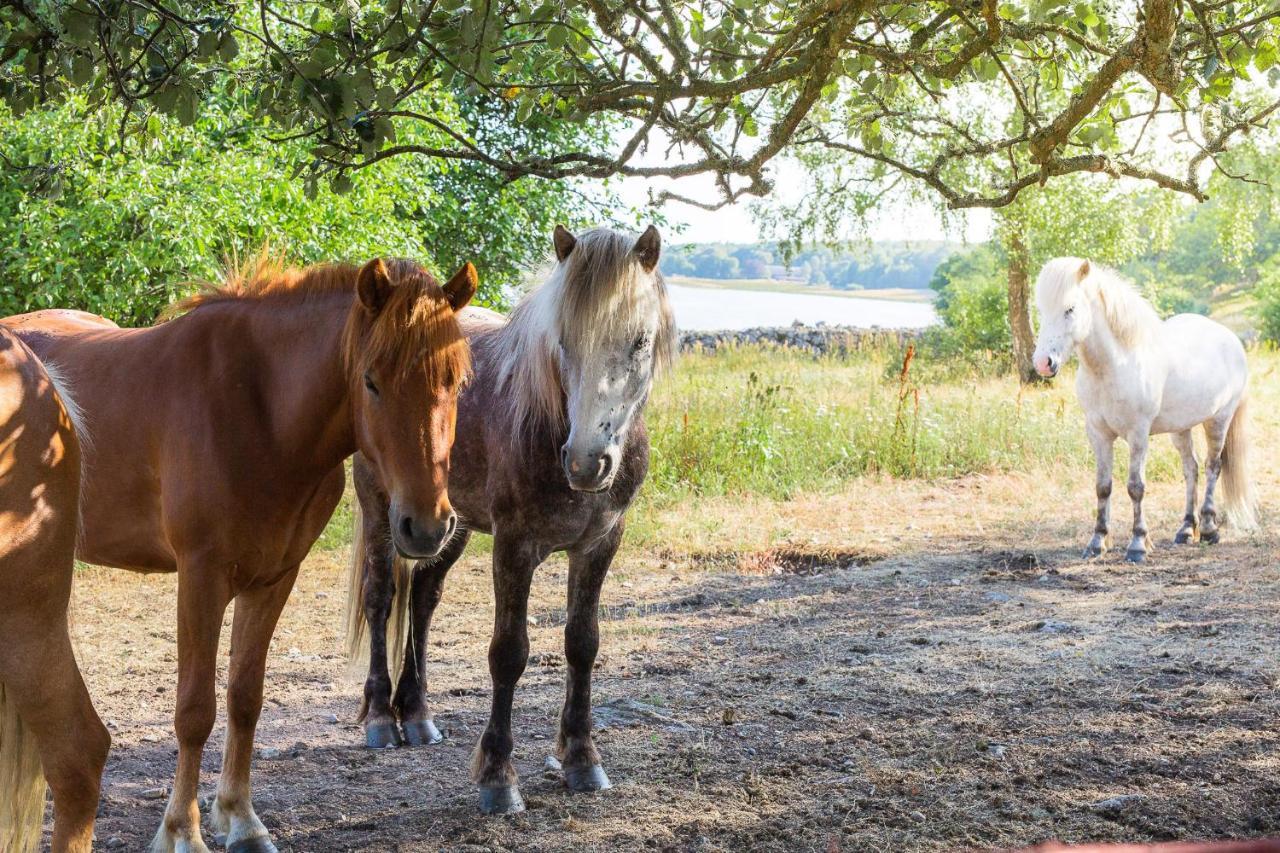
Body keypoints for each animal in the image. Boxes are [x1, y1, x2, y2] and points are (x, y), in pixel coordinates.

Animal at [2, 257, 478, 850]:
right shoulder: (201, 578)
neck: (260, 410)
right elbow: (194, 711)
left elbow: (245, 699)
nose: (426, 525)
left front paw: (240, 818)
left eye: (455, 381)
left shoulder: (273, 579)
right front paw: (182, 830)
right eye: (371, 381)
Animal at [345, 225, 675, 809]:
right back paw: (384, 717)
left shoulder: (600, 544)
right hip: (382, 508)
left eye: (639, 341)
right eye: (563, 339)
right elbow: (509, 653)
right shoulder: (514, 547)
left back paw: (419, 714)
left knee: (424, 599)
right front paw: (499, 777)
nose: (586, 462)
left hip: (445, 524)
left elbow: (582, 644)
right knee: (381, 597)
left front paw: (581, 759)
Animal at [1034, 256, 1254, 560]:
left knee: (1213, 467)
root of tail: (1230, 339)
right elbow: (1103, 487)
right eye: (1041, 310)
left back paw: (1209, 530)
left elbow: (1135, 487)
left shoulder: (1137, 433)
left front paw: (1138, 544)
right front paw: (1097, 542)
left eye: (1070, 309)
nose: (1043, 363)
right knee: (1191, 469)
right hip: (1181, 428)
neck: (1116, 364)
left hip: (1219, 419)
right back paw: (1186, 530)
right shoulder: (1098, 433)